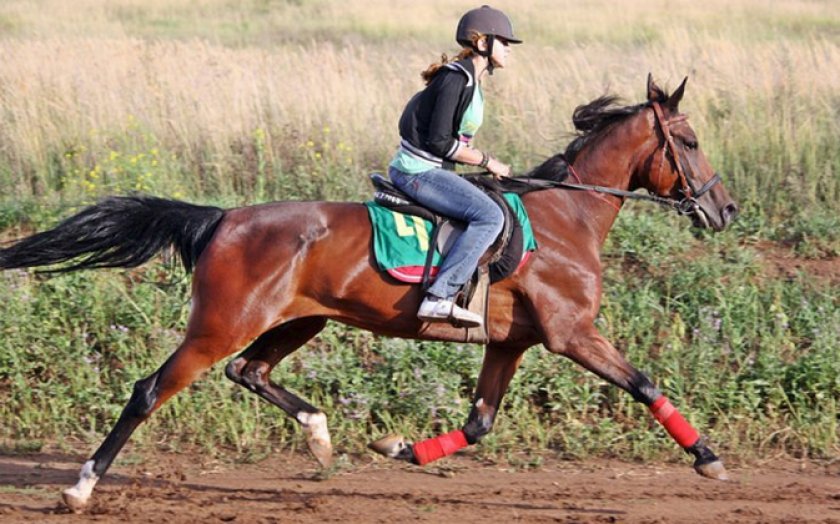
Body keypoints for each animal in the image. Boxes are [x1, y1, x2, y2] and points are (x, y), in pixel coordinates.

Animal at [0, 75, 736, 510]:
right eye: (692, 140)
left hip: (300, 320)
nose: (724, 209)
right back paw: (81, 488)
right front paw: (708, 457)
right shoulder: (572, 334)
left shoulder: (512, 343)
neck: (567, 215)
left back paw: (321, 438)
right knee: (151, 389)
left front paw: (401, 449)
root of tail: (221, 218)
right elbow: (643, 382)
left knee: (250, 372)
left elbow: (479, 423)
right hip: (221, 324)